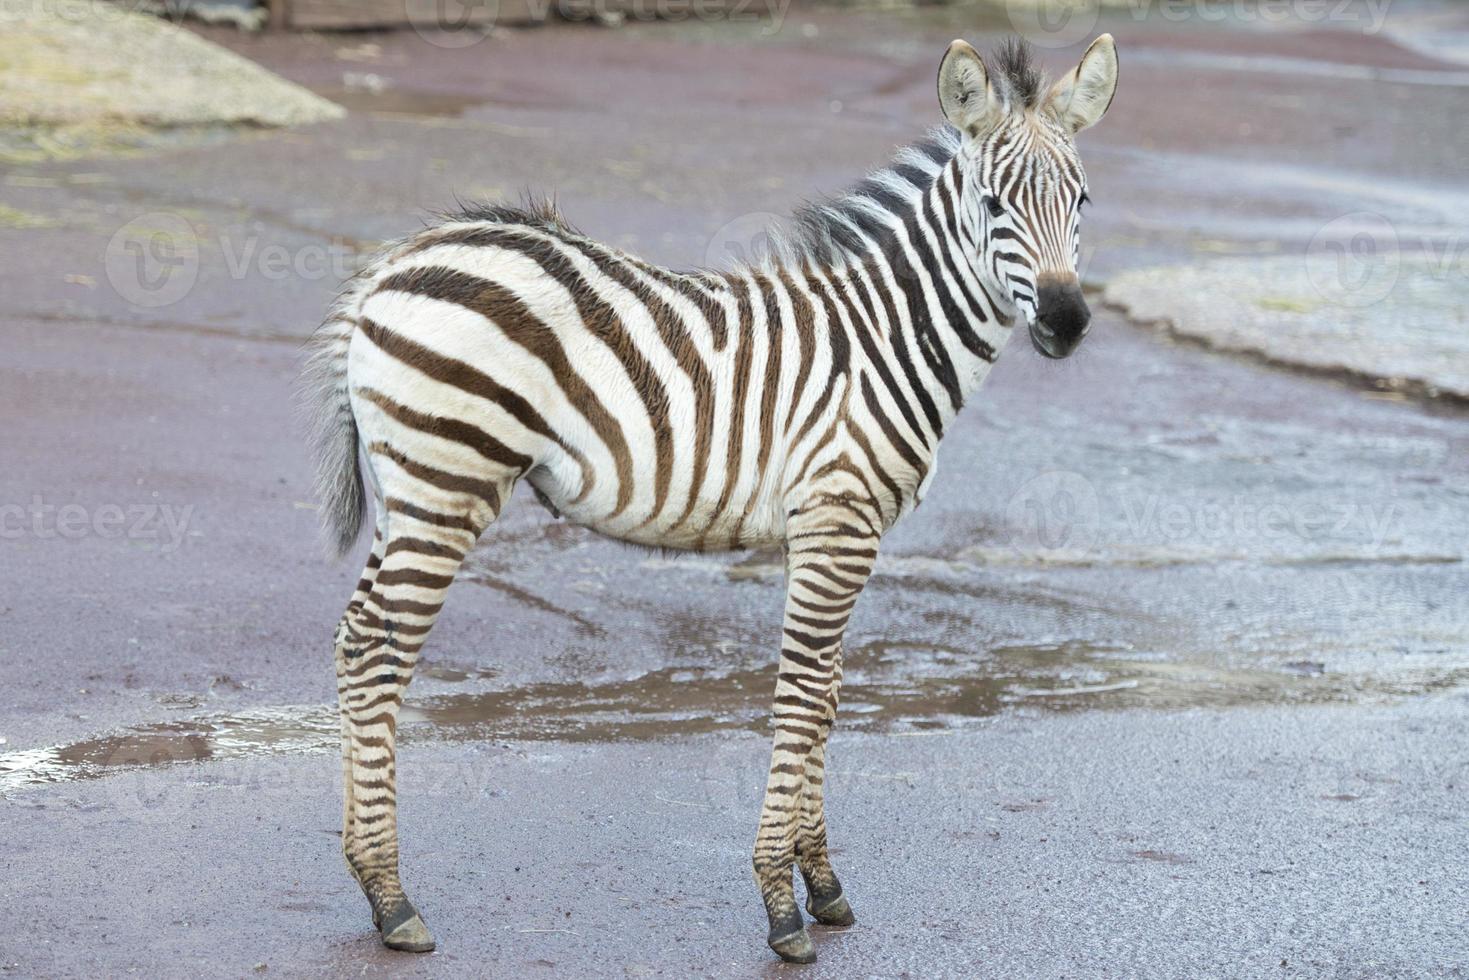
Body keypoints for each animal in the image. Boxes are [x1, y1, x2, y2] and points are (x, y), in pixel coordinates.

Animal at [304, 34, 1116, 963]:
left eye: (1081, 199)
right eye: (991, 204)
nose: (1064, 321)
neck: (883, 340)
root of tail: (394, 262)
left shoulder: (843, 531)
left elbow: (827, 693)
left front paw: (823, 885)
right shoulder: (835, 518)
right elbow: (800, 693)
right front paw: (780, 907)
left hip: (412, 483)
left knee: (353, 642)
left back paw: (371, 883)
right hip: (447, 478)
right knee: (378, 652)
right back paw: (393, 899)